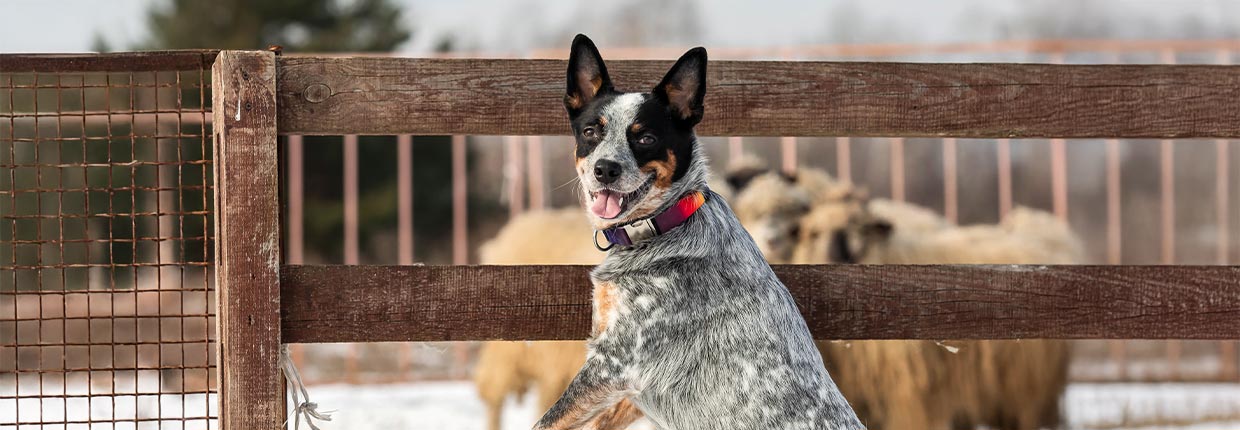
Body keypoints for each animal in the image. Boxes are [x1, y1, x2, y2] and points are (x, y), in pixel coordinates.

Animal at [530, 34, 863, 430]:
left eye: (646, 138)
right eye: (591, 132)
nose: (605, 169)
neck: (663, 225)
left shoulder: (615, 364)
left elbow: (546, 422)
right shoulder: (629, 389)